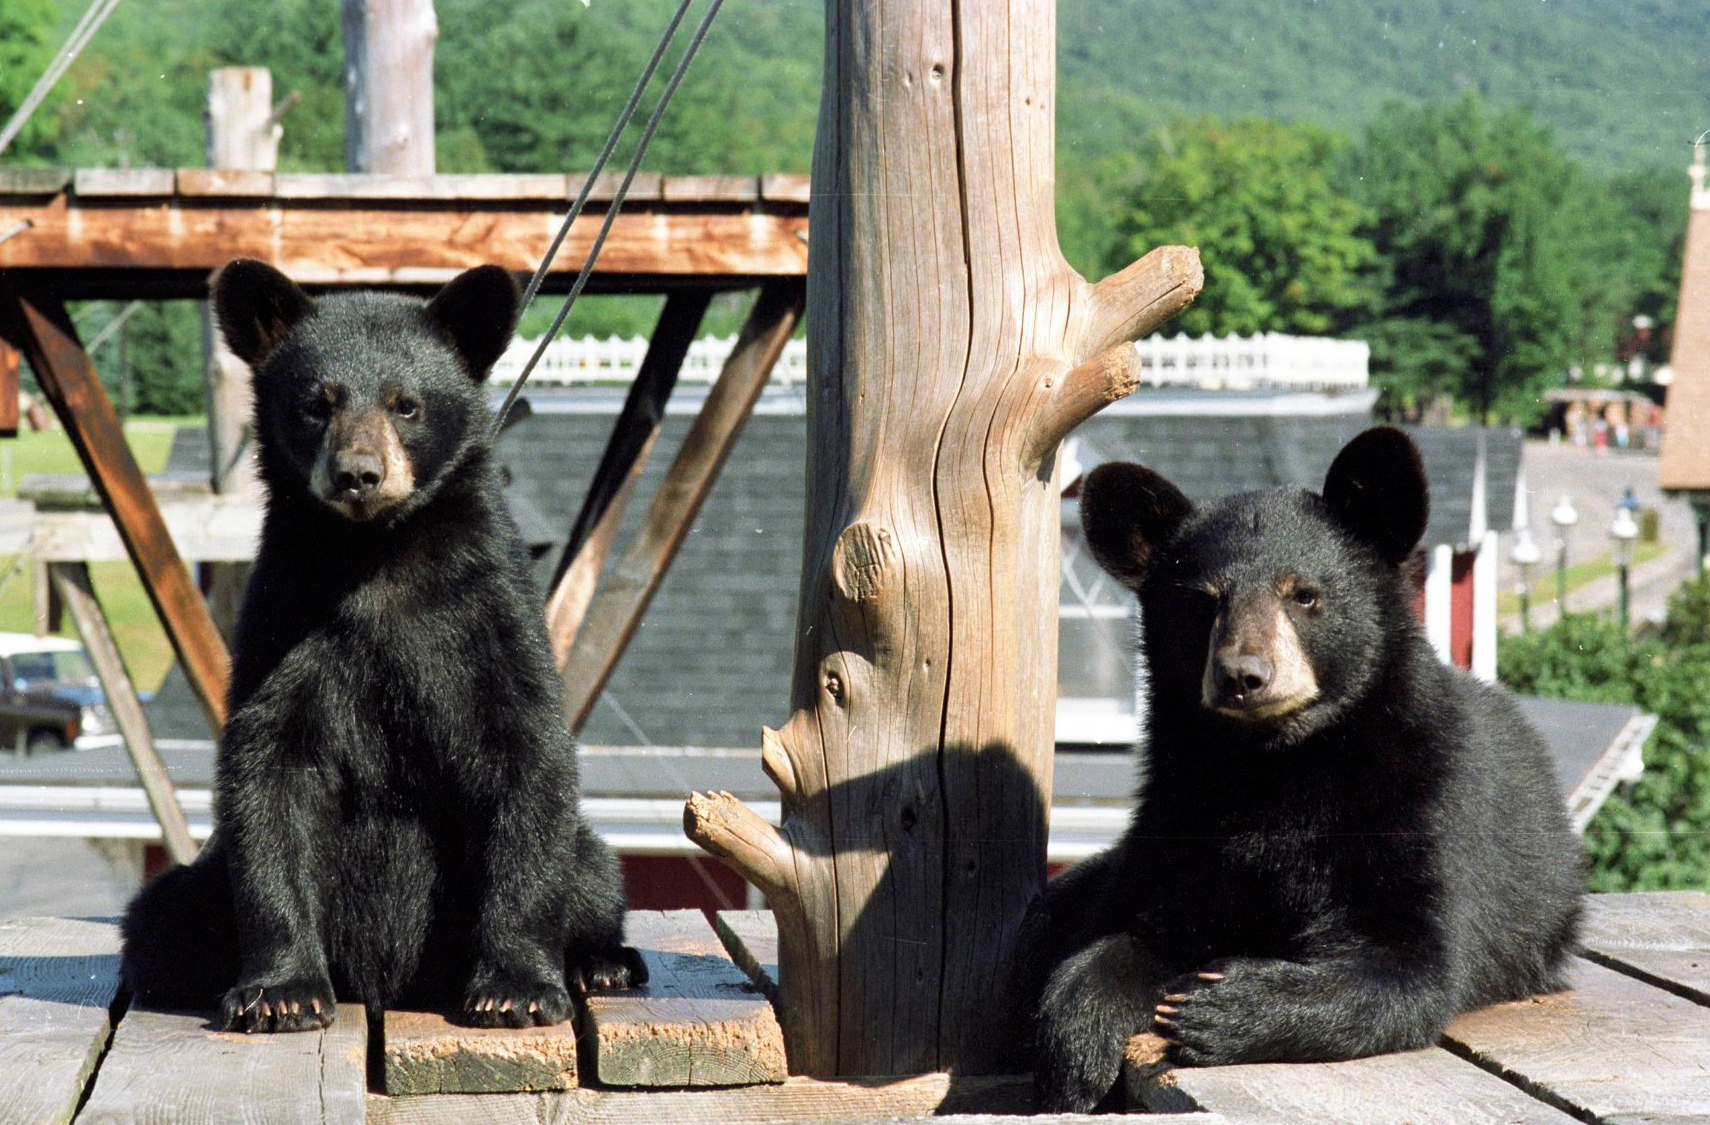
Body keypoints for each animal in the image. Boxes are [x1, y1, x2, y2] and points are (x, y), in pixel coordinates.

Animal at [119, 259, 643, 1033]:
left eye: (407, 405)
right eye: (317, 402)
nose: (358, 473)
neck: (377, 556)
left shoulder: (490, 616)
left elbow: (525, 752)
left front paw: (515, 986)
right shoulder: (284, 622)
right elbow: (268, 772)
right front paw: (281, 990)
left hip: (582, 857)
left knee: (593, 869)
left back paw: (603, 960)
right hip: (198, 888)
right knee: (161, 920)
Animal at [1017, 426, 1583, 1112]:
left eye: (1304, 595)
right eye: (1202, 603)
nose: (1243, 675)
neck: (1278, 768)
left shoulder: (1423, 804)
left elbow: (1409, 963)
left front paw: (1222, 1007)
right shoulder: (1180, 818)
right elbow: (1133, 931)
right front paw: (1073, 1049)